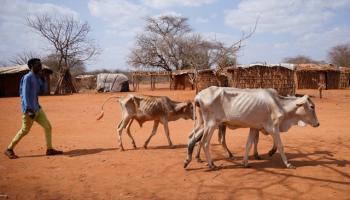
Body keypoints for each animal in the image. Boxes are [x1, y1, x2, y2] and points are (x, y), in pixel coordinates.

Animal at [183, 86, 320, 169]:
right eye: (312, 106)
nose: (318, 124)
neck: (279, 104)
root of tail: (199, 95)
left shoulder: (254, 128)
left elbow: (249, 144)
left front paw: (246, 162)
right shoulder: (273, 128)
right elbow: (280, 145)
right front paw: (287, 164)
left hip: (205, 123)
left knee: (192, 137)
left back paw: (190, 160)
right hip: (211, 124)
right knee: (204, 142)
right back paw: (211, 164)